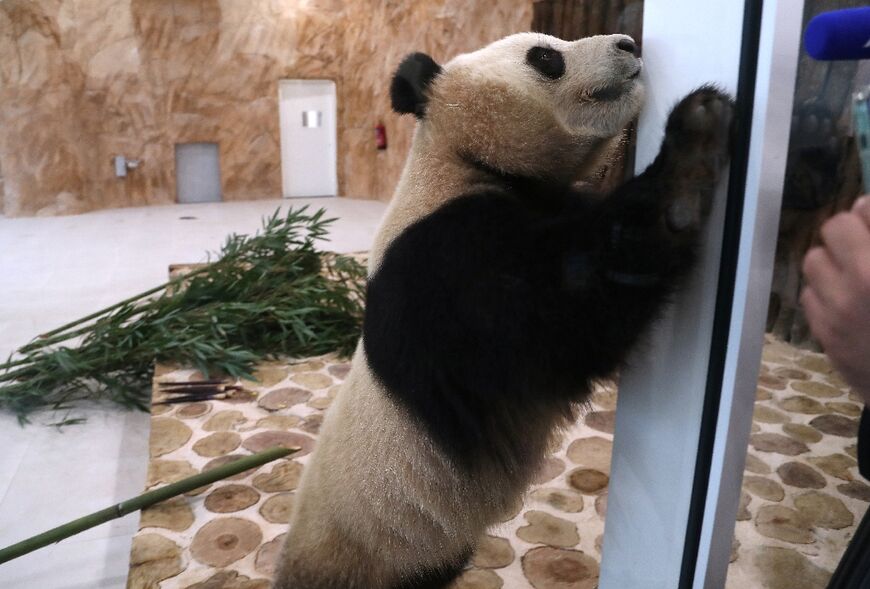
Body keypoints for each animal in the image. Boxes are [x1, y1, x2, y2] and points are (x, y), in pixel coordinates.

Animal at [273, 32, 733, 589]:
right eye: (546, 56)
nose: (627, 43)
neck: (459, 158)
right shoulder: (441, 264)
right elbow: (563, 313)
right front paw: (697, 133)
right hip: (367, 552)